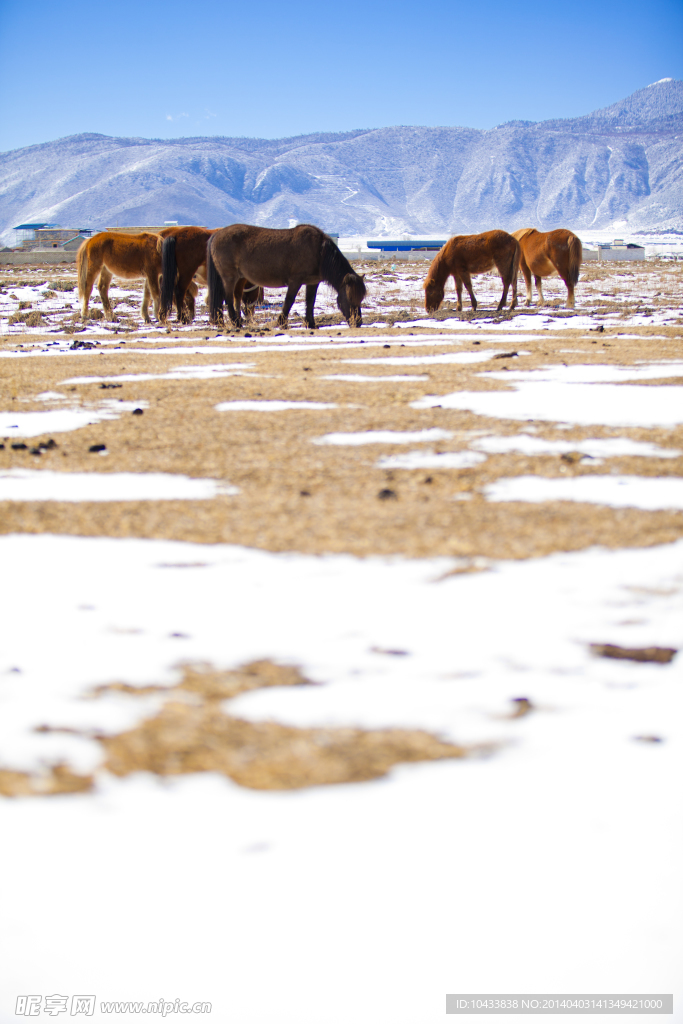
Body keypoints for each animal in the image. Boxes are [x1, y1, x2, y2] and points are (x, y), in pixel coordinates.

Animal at [206, 224, 366, 327]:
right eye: (350, 297)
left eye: (360, 298)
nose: (358, 322)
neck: (320, 252)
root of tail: (216, 234)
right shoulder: (295, 281)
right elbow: (289, 300)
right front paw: (281, 322)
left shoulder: (312, 283)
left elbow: (310, 302)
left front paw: (311, 323)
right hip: (230, 277)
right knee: (227, 298)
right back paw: (235, 322)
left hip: (238, 278)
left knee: (233, 298)